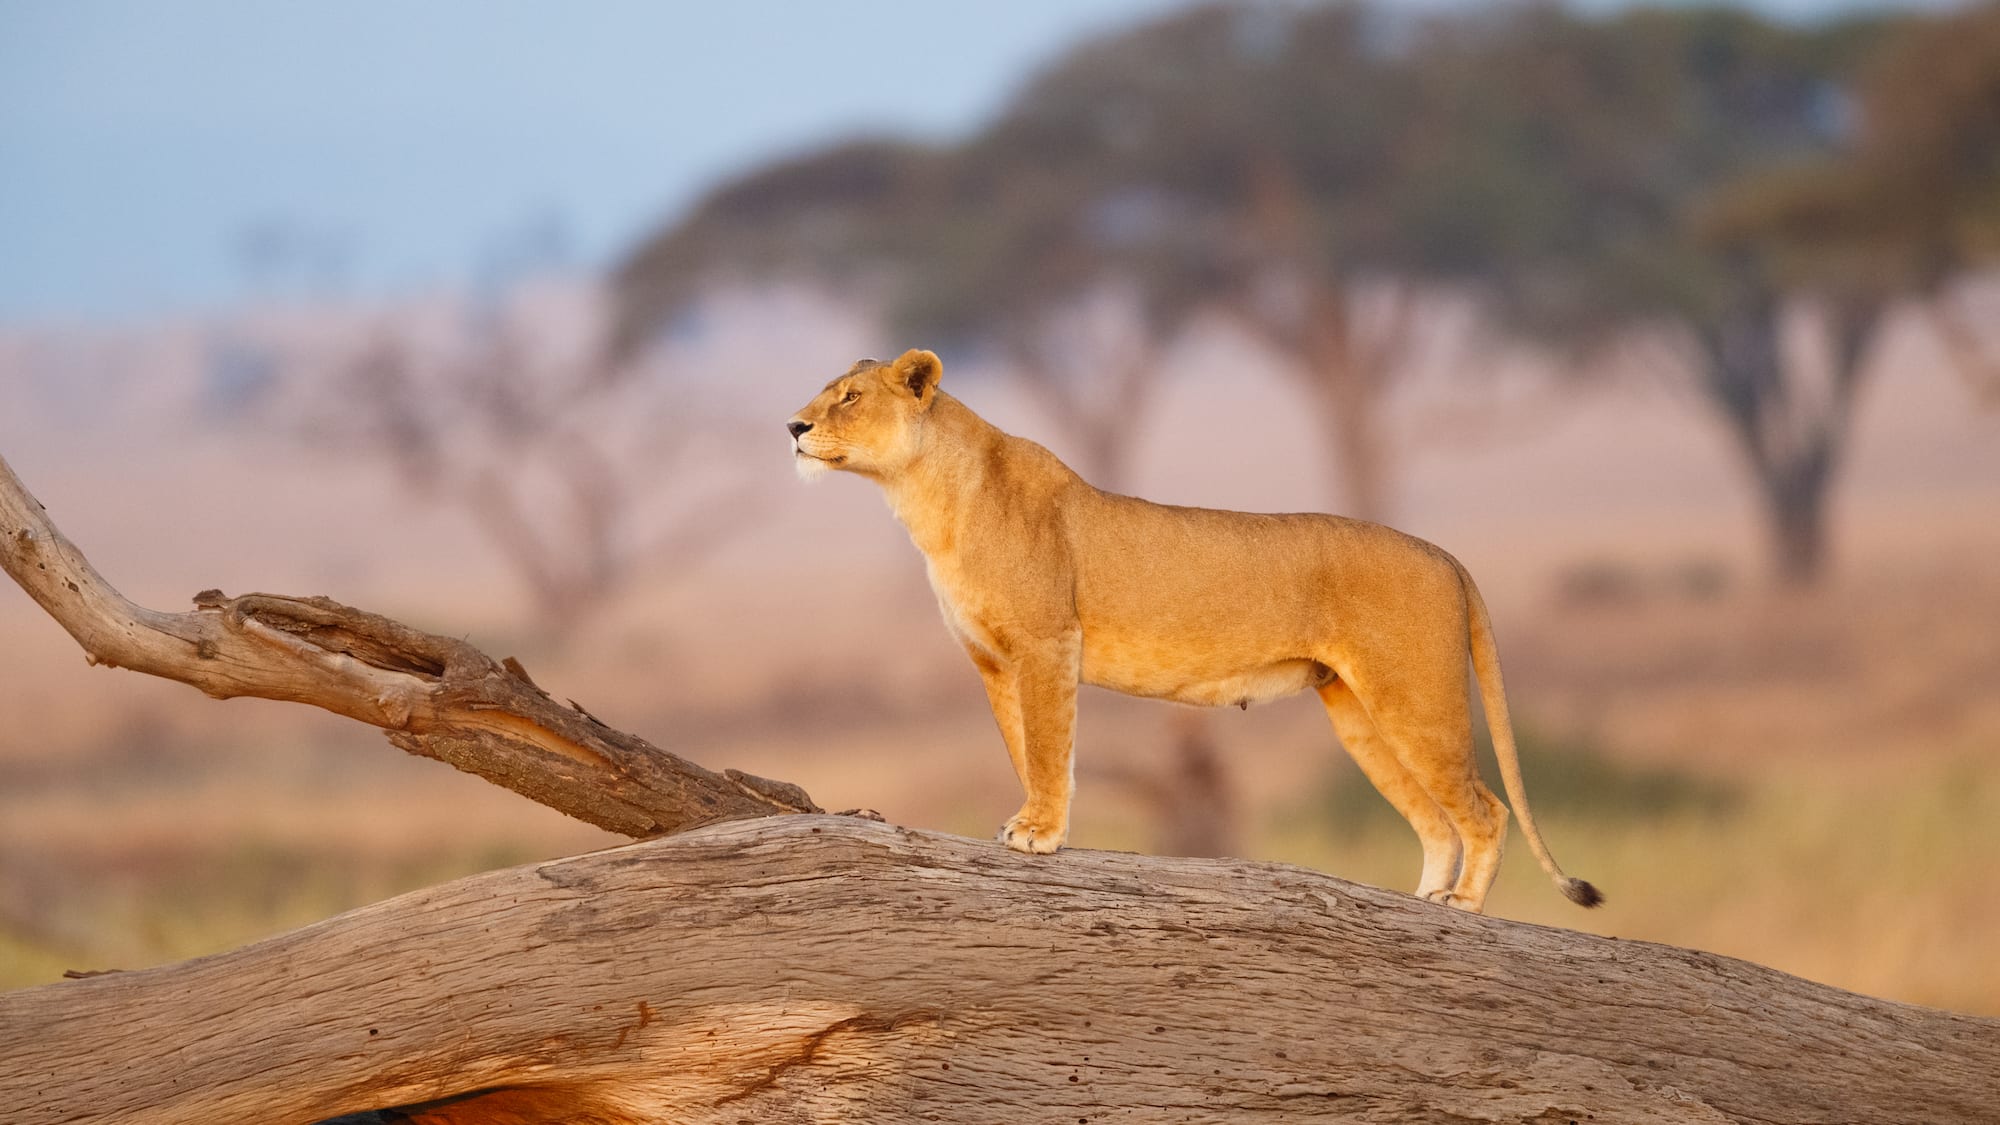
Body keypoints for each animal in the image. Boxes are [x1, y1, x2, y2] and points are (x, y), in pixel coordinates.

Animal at [787, 349, 1601, 913]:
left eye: (850, 398)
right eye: (824, 394)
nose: (793, 427)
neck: (927, 498)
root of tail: (1445, 553)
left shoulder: (1048, 644)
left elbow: (1049, 748)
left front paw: (1039, 834)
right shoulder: (993, 661)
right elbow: (1024, 750)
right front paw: (1033, 826)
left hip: (1415, 697)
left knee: (1485, 809)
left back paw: (1462, 905)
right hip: (1356, 710)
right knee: (1434, 818)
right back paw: (1425, 900)